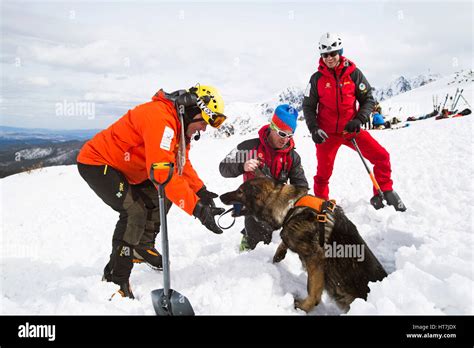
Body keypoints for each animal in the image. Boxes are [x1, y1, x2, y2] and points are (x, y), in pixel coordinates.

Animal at [220, 177, 386, 312]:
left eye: (240, 191)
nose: (220, 196)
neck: (290, 207)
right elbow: (283, 240)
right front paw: (279, 254)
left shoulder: (315, 259)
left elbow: (312, 288)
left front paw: (304, 306)